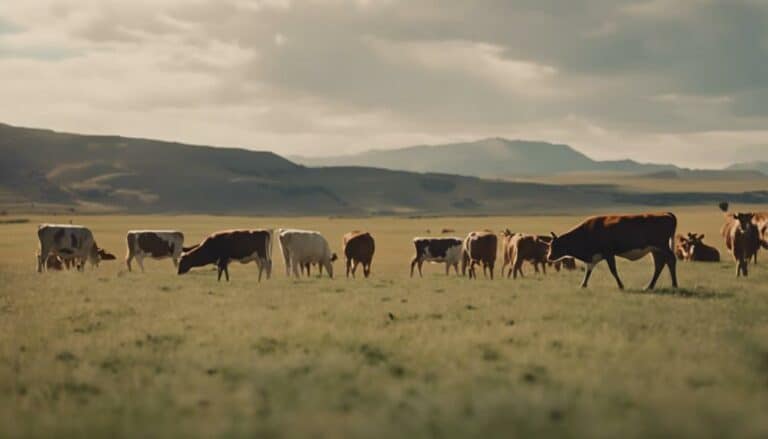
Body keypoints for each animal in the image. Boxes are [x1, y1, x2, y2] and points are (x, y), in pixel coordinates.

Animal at [544, 211, 680, 290]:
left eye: (555, 245)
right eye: (549, 246)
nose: (549, 257)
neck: (588, 231)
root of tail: (665, 213)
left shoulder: (609, 253)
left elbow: (613, 270)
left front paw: (621, 285)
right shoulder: (593, 256)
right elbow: (588, 270)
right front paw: (583, 285)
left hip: (662, 246)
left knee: (671, 260)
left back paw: (674, 285)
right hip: (655, 250)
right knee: (659, 264)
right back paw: (649, 286)